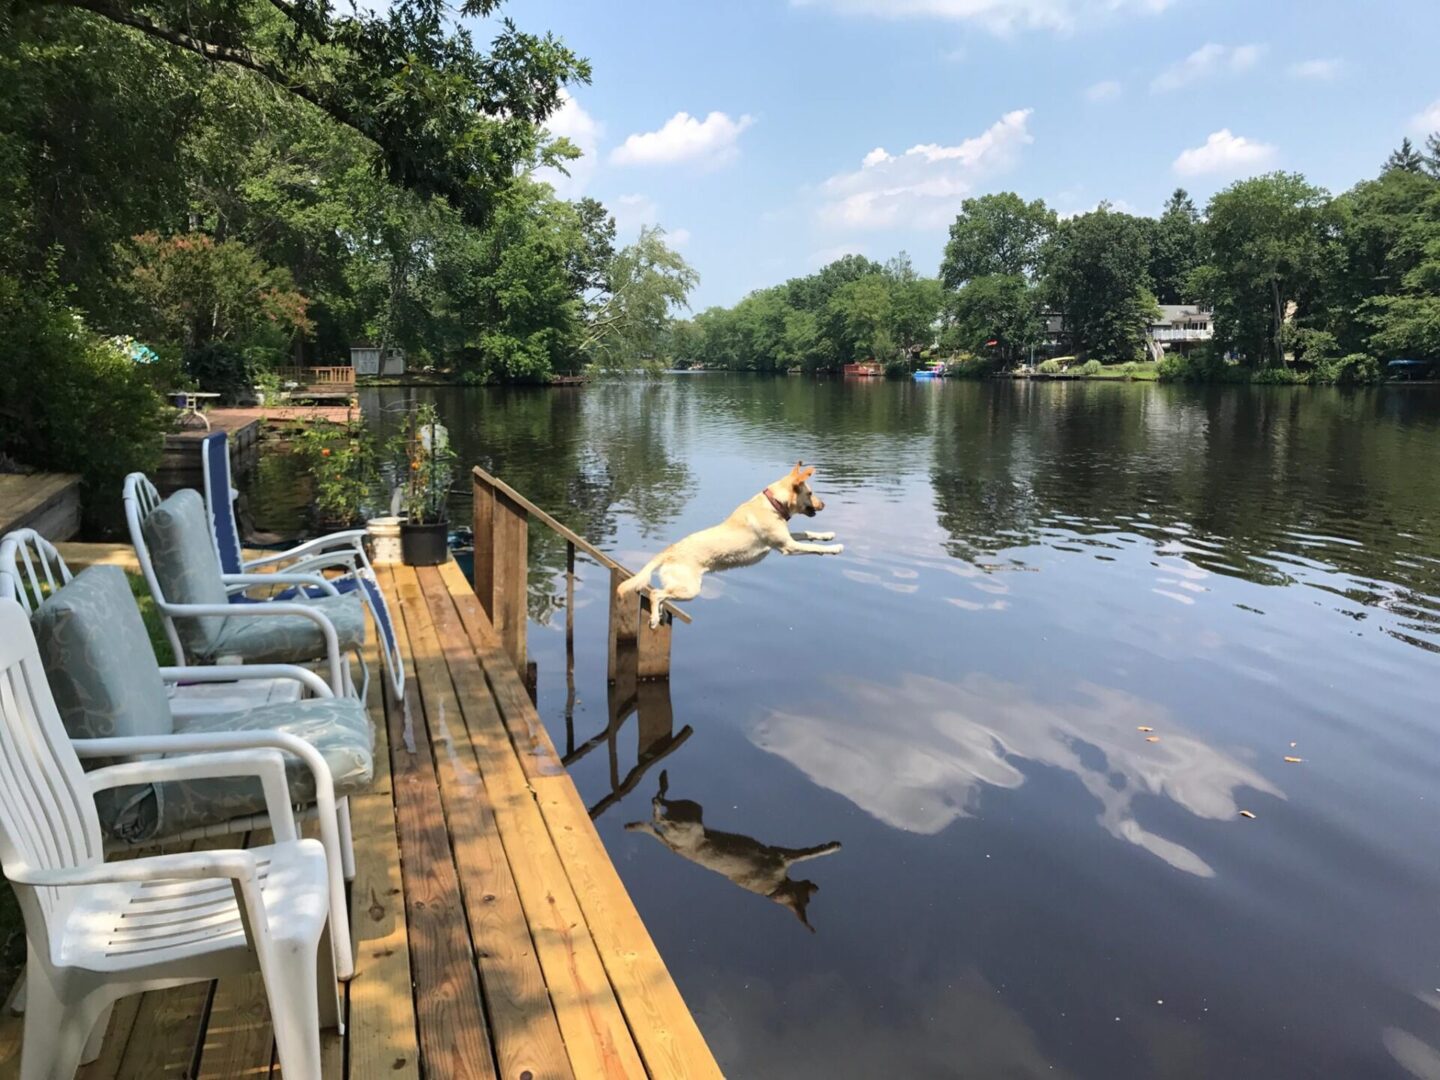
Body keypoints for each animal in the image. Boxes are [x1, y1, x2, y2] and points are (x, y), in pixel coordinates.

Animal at [616, 463, 840, 630]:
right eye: (810, 493)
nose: (824, 505)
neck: (773, 503)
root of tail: (669, 551)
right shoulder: (788, 547)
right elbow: (813, 548)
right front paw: (835, 548)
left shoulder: (784, 540)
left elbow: (807, 534)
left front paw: (827, 535)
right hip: (689, 589)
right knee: (656, 593)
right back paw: (654, 618)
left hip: (680, 586)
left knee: (660, 595)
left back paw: (659, 614)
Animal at [622, 771, 840, 933]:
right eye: (807, 900)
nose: (815, 887)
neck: (777, 888)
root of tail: (675, 847)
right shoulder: (781, 855)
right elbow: (810, 853)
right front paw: (833, 846)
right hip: (691, 818)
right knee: (657, 809)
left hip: (690, 810)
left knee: (658, 806)